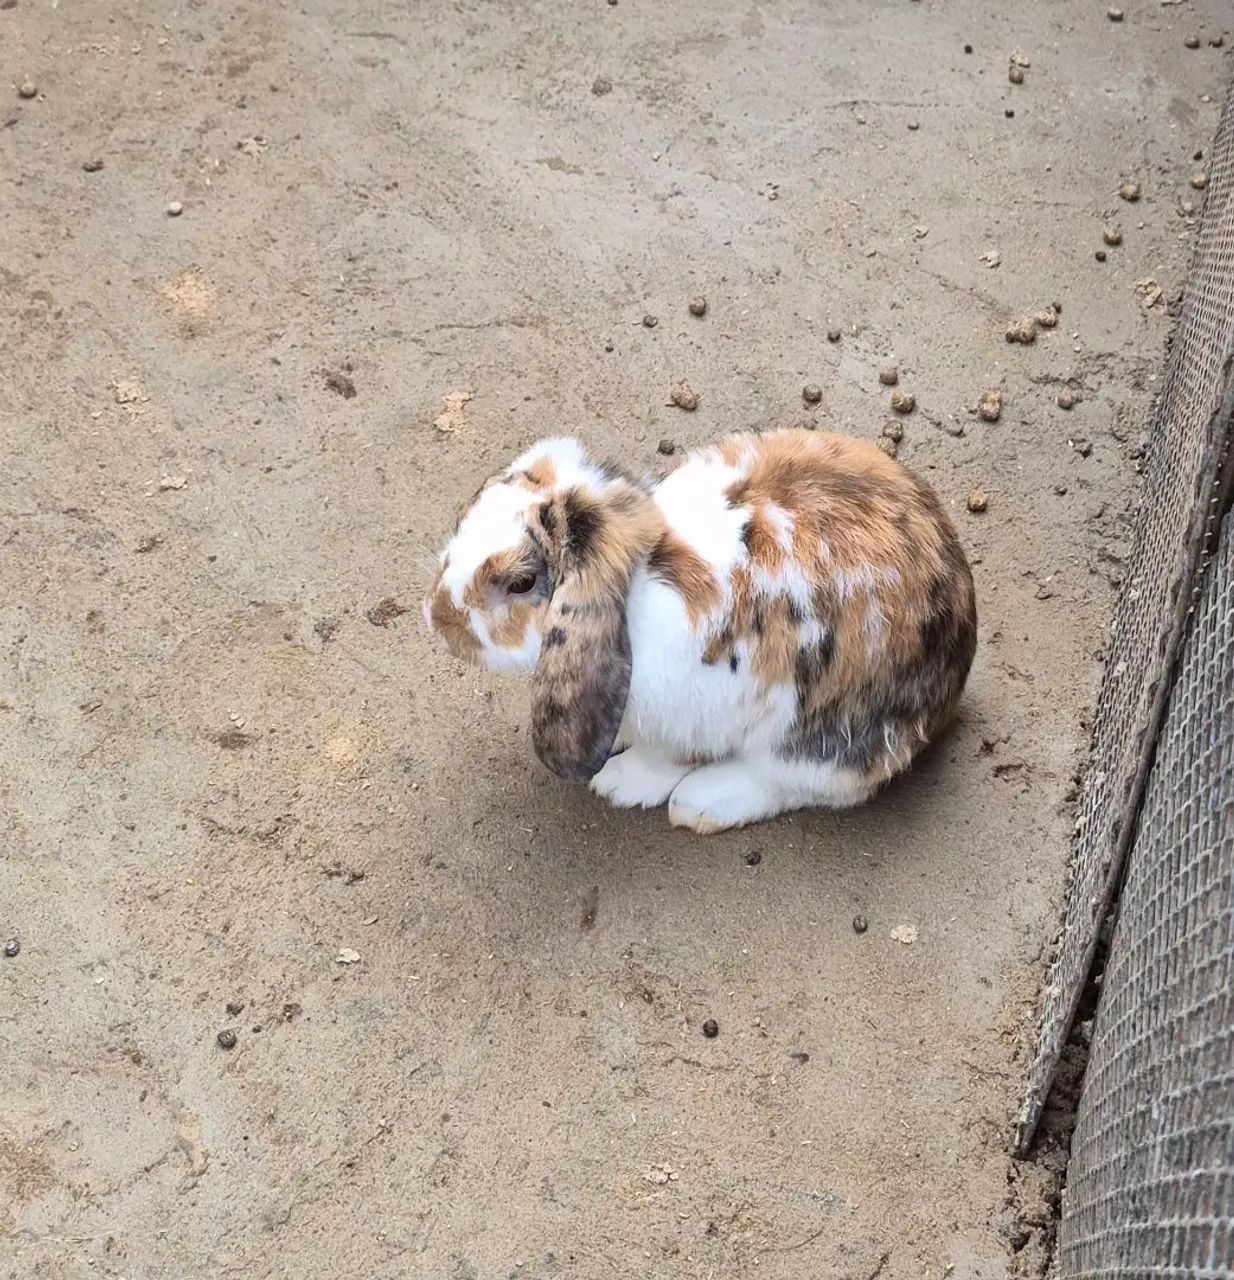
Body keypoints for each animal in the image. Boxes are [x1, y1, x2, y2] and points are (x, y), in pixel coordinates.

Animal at [424, 428, 976, 833]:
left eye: (520, 583)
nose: (437, 617)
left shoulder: (691, 716)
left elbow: (664, 760)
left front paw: (617, 783)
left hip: (823, 739)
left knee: (801, 782)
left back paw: (701, 803)